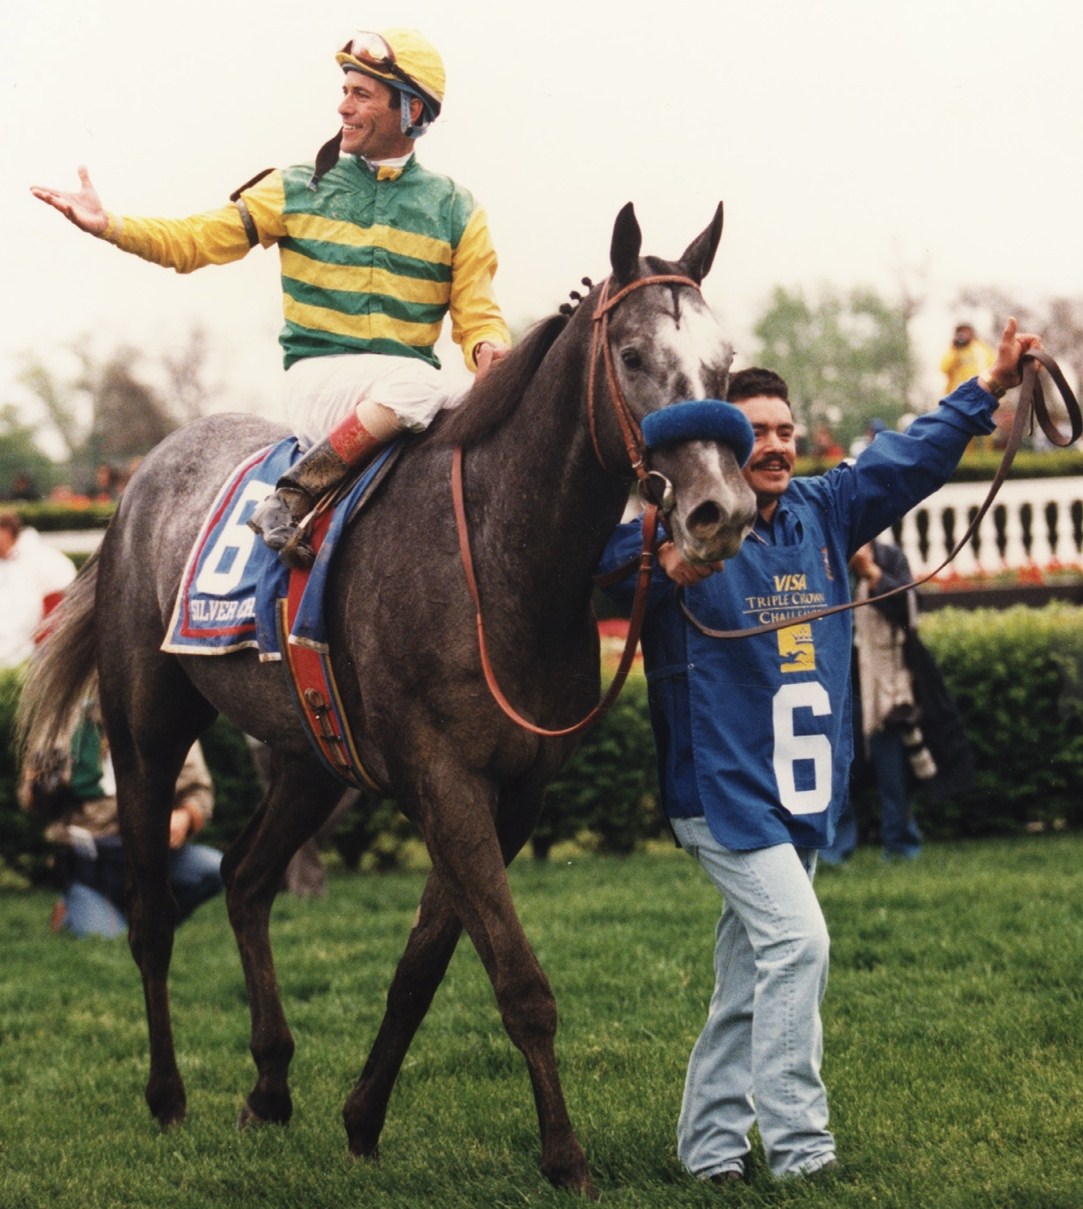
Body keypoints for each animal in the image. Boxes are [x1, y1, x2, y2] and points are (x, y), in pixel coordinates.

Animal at [21, 203, 759, 1194]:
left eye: (723, 362)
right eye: (635, 355)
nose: (721, 511)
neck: (496, 551)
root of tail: (143, 474)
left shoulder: (511, 790)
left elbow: (424, 964)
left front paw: (361, 1118)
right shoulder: (444, 779)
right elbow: (518, 981)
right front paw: (565, 1157)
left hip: (309, 757)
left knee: (245, 879)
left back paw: (270, 1086)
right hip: (146, 732)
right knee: (150, 916)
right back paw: (168, 1097)